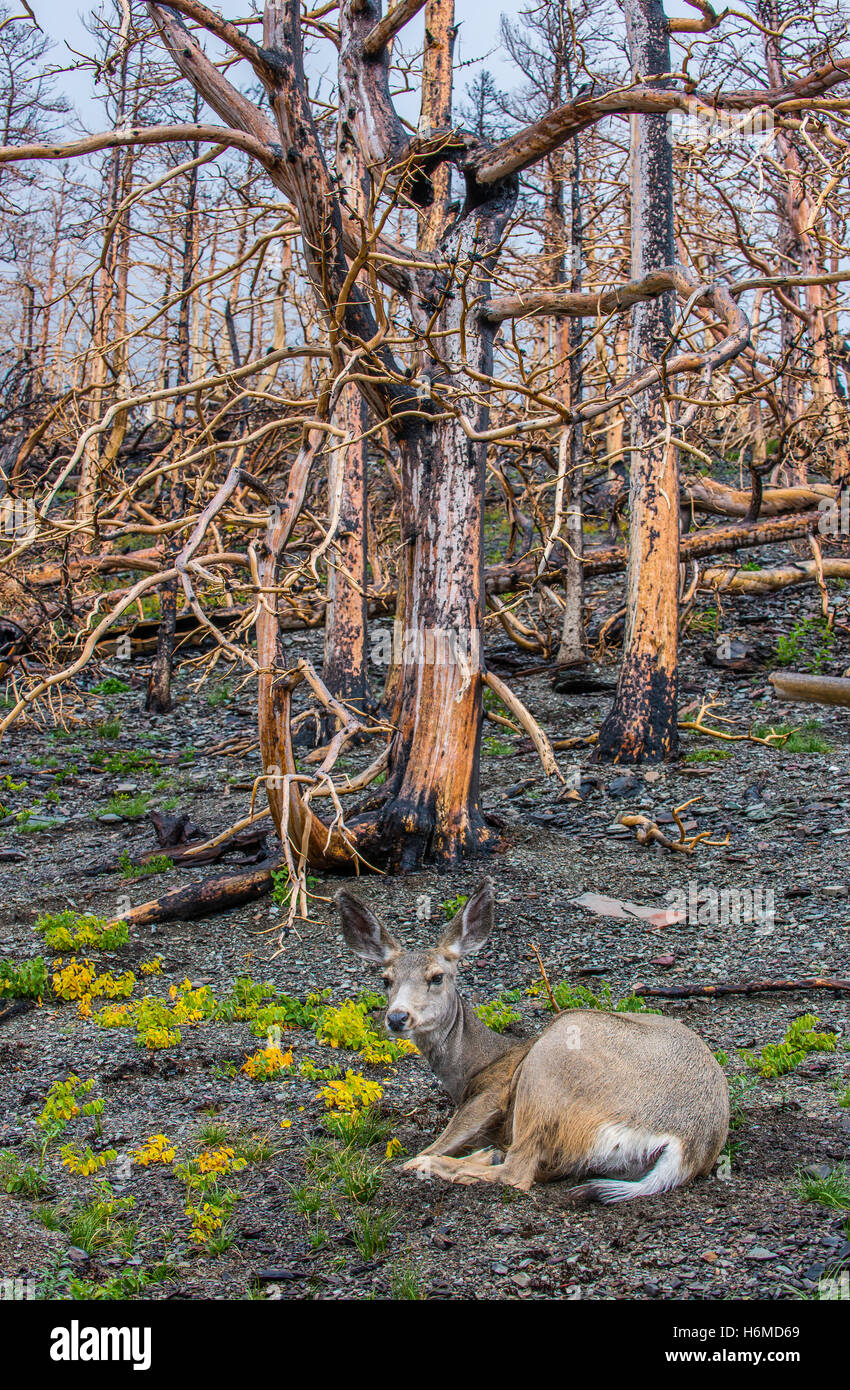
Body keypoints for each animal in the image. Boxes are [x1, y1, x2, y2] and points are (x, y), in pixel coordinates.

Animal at [335, 878, 729, 1202]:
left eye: (436, 977)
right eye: (386, 980)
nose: (398, 1017)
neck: (478, 1063)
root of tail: (687, 1144)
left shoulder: (491, 1093)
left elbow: (439, 1143)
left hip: (552, 1057)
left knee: (516, 1171)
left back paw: (447, 1163)